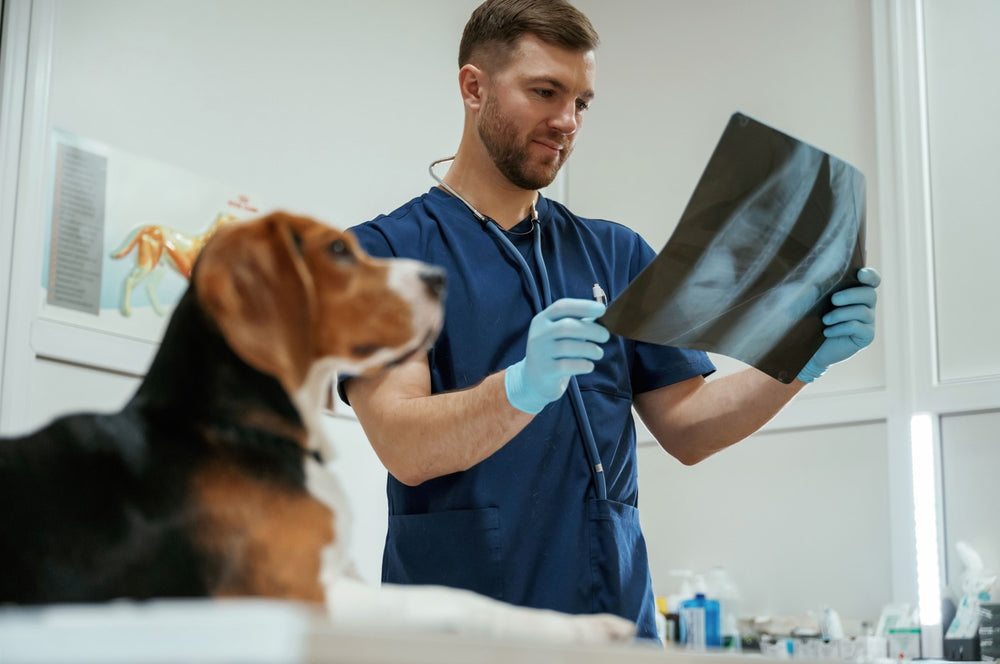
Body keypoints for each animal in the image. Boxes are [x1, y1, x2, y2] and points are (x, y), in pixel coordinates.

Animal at [0, 211, 636, 644]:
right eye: (337, 249)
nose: (439, 279)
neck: (236, 424)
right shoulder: (301, 593)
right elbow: (456, 600)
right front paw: (578, 629)